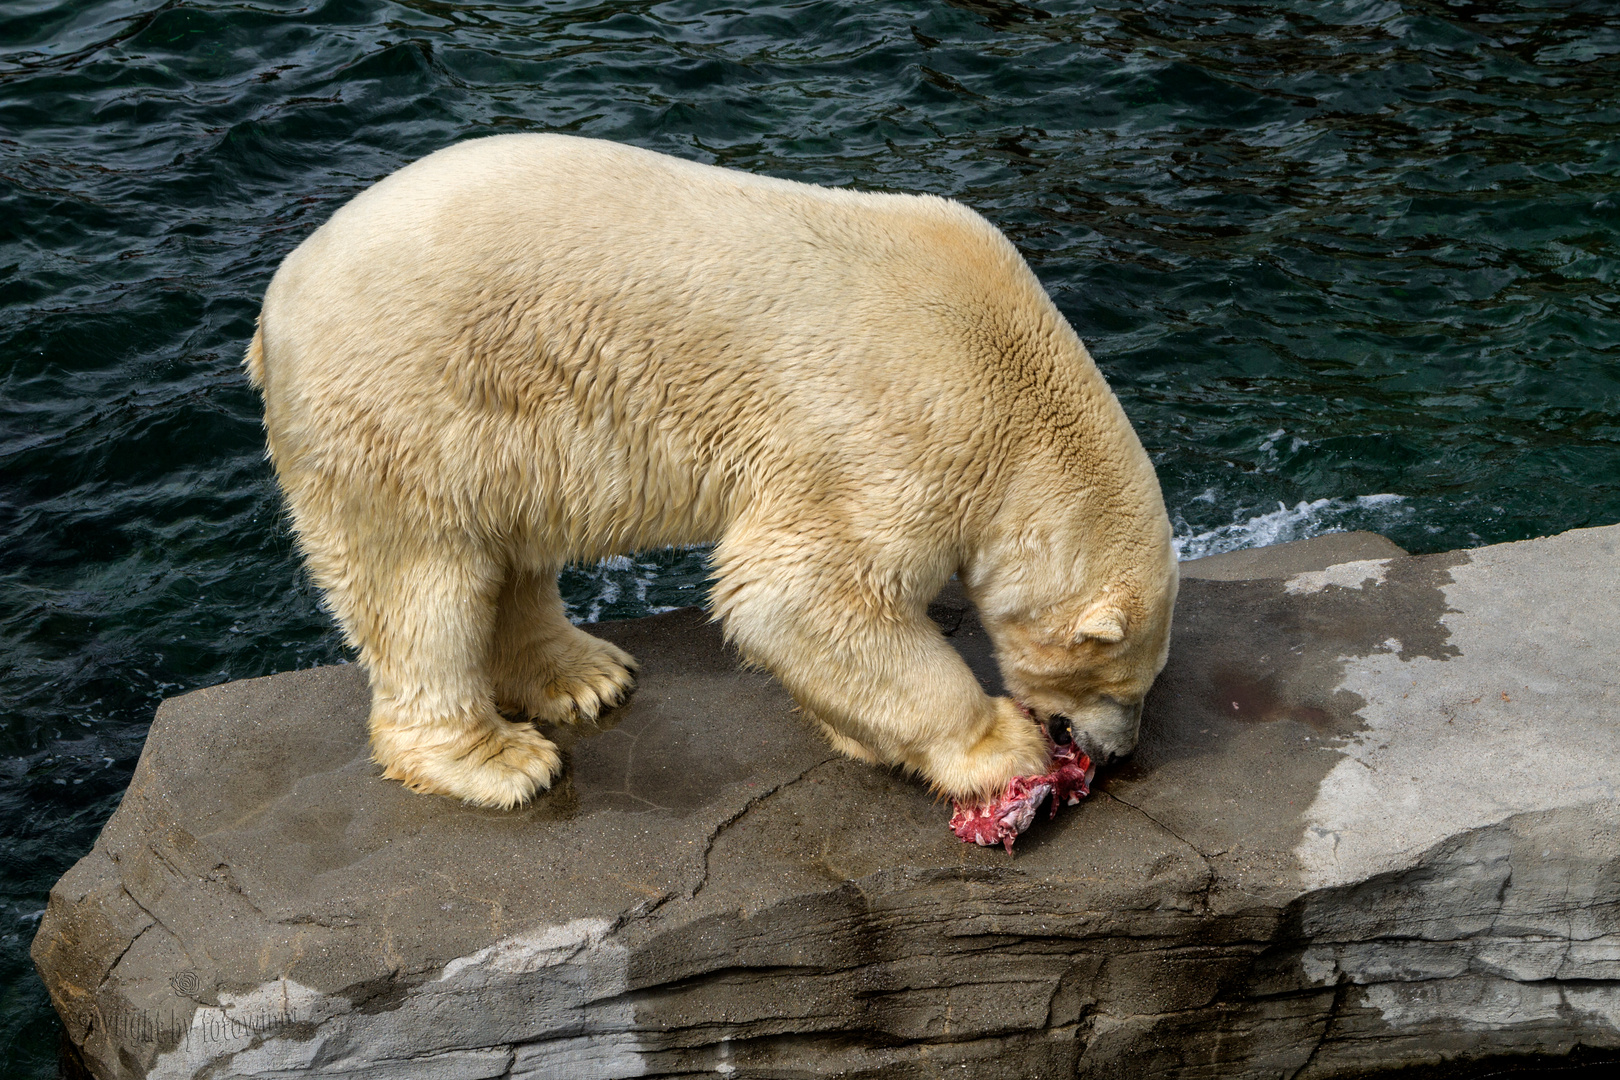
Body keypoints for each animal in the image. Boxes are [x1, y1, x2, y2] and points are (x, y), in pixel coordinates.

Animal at [246, 132, 1179, 809]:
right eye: (1111, 679)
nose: (1115, 751)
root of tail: (275, 307)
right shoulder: (902, 435)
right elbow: (799, 594)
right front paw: (999, 746)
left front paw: (855, 731)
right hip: (406, 407)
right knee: (420, 582)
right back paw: (499, 761)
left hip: (503, 426)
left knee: (509, 549)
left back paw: (584, 677)